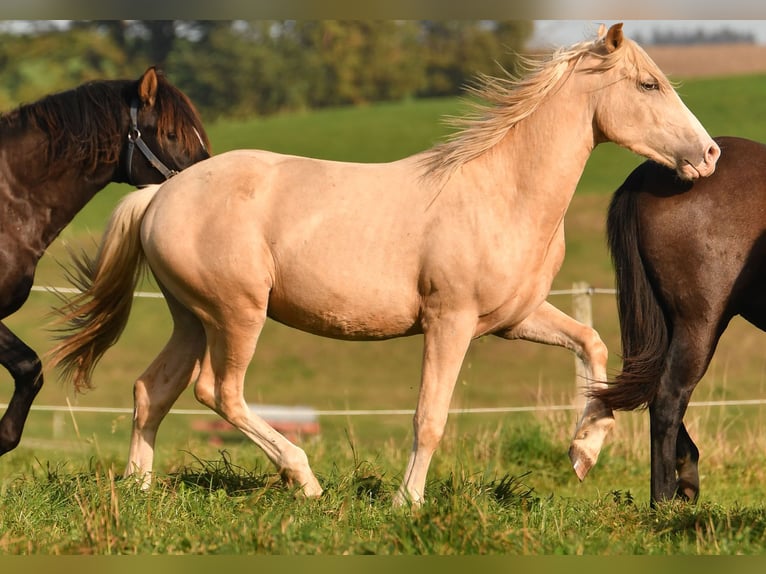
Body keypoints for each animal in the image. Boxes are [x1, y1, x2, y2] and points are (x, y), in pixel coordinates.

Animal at [49, 24, 720, 506]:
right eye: (650, 85)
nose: (710, 154)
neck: (501, 190)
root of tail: (159, 194)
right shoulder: (449, 321)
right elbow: (430, 417)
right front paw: (407, 502)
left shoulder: (514, 317)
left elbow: (593, 346)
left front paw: (584, 451)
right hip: (236, 314)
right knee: (218, 391)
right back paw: (305, 480)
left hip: (191, 317)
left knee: (152, 390)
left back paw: (139, 491)